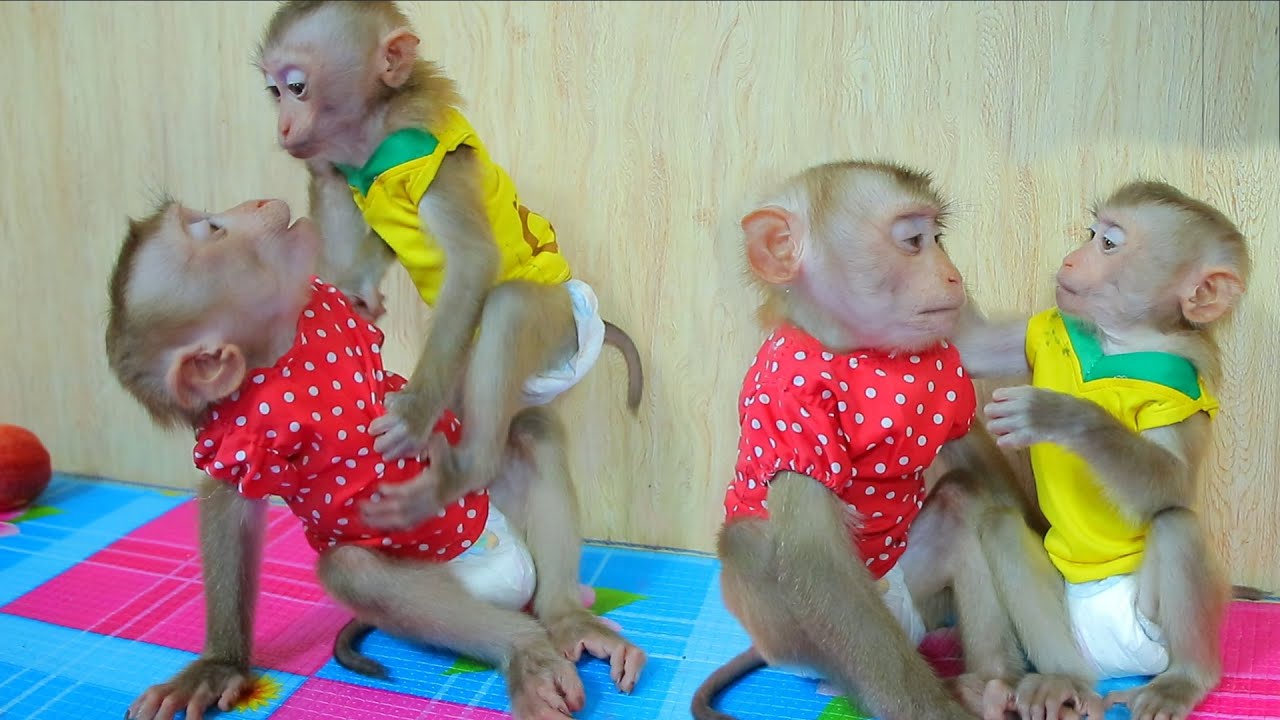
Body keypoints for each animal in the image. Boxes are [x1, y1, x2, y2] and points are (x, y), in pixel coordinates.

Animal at [104, 197, 645, 720]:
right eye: (211, 230)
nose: (254, 205)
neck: (284, 354)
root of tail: (516, 584)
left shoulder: (325, 300)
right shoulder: (241, 435)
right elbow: (232, 501)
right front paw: (221, 664)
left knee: (535, 431)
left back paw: (567, 618)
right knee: (352, 569)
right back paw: (522, 648)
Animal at [254, 1, 643, 533]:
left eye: (297, 87)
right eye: (274, 93)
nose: (282, 127)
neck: (375, 141)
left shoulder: (430, 164)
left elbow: (474, 261)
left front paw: (413, 415)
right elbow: (375, 241)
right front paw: (357, 291)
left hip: (559, 326)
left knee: (511, 308)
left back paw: (465, 471)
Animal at [692, 161, 1033, 720]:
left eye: (938, 237)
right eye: (913, 242)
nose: (954, 276)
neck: (858, 352)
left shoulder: (947, 353)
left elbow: (973, 409)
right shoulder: (787, 410)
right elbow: (814, 562)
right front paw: (937, 714)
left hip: (919, 594)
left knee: (961, 501)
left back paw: (990, 685)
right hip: (799, 643)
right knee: (747, 542)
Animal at [950, 180, 1251, 720]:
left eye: (1108, 244)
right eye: (1091, 235)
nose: (1072, 258)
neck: (1120, 340)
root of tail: (1112, 670)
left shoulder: (1182, 389)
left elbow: (1173, 482)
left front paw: (1062, 416)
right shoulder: (1047, 323)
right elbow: (974, 344)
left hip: (1151, 639)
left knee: (1176, 522)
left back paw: (1184, 681)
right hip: (1072, 636)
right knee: (998, 527)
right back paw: (1038, 684)